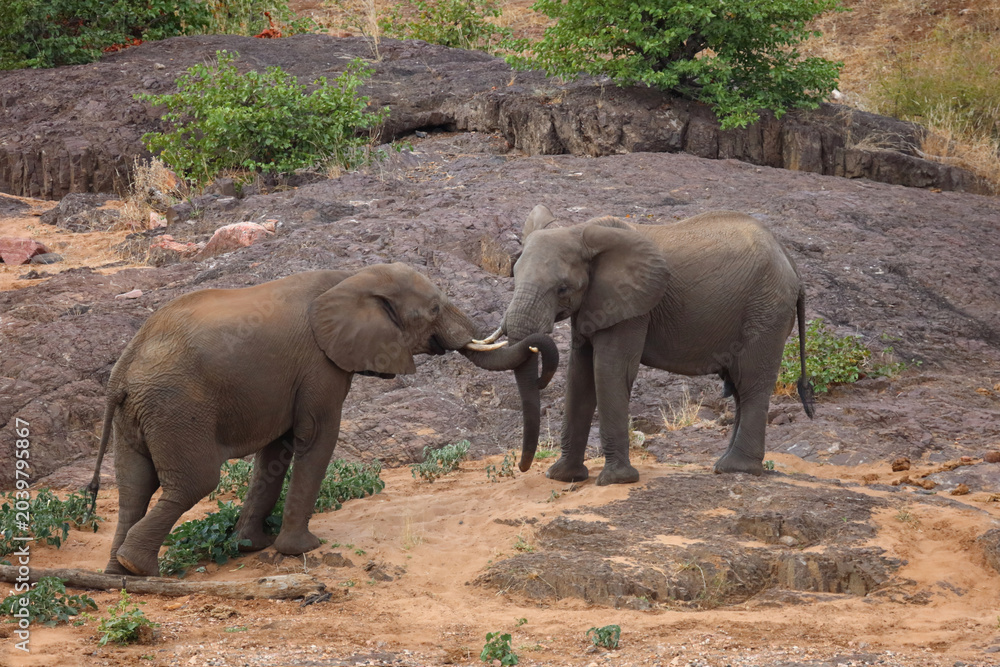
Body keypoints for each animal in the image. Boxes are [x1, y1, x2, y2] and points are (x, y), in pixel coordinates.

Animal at [86, 263, 558, 576]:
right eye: (435, 308)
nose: (524, 469)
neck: (352, 279)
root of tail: (122, 371)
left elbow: (276, 451)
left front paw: (250, 545)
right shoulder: (319, 364)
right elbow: (316, 437)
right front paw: (301, 549)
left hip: (140, 414)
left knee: (134, 487)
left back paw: (117, 572)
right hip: (176, 407)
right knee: (193, 483)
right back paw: (138, 567)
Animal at [484, 205, 814, 486]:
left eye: (563, 288)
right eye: (513, 274)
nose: (522, 467)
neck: (580, 231)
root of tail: (792, 265)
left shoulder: (633, 309)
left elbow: (609, 371)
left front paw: (616, 480)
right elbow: (580, 376)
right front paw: (563, 477)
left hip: (766, 311)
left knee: (751, 383)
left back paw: (735, 469)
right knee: (739, 388)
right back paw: (725, 465)